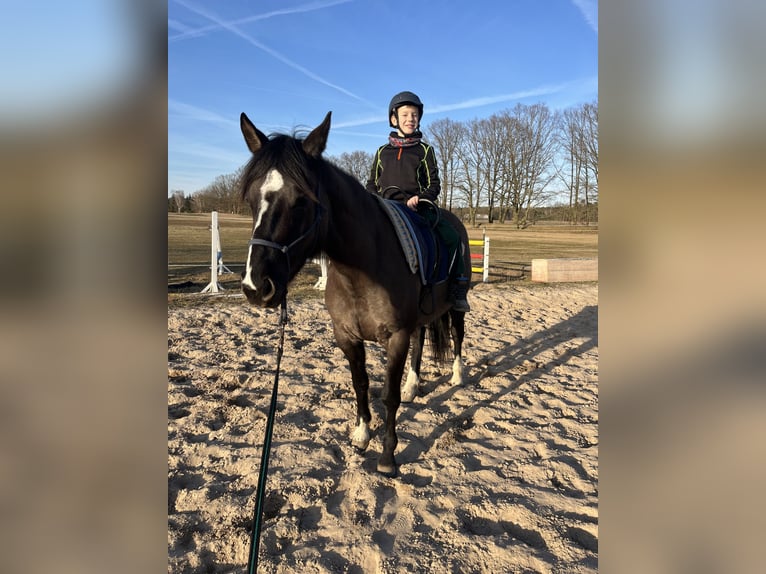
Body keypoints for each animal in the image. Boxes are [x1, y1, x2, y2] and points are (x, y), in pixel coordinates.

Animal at [238, 111, 471, 477]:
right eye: (250, 200)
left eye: (301, 200)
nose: (256, 286)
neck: (362, 270)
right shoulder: (347, 336)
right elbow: (360, 383)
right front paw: (361, 434)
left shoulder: (396, 337)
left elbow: (388, 395)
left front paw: (388, 457)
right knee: (422, 341)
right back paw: (413, 385)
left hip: (455, 305)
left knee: (458, 334)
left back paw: (458, 376)